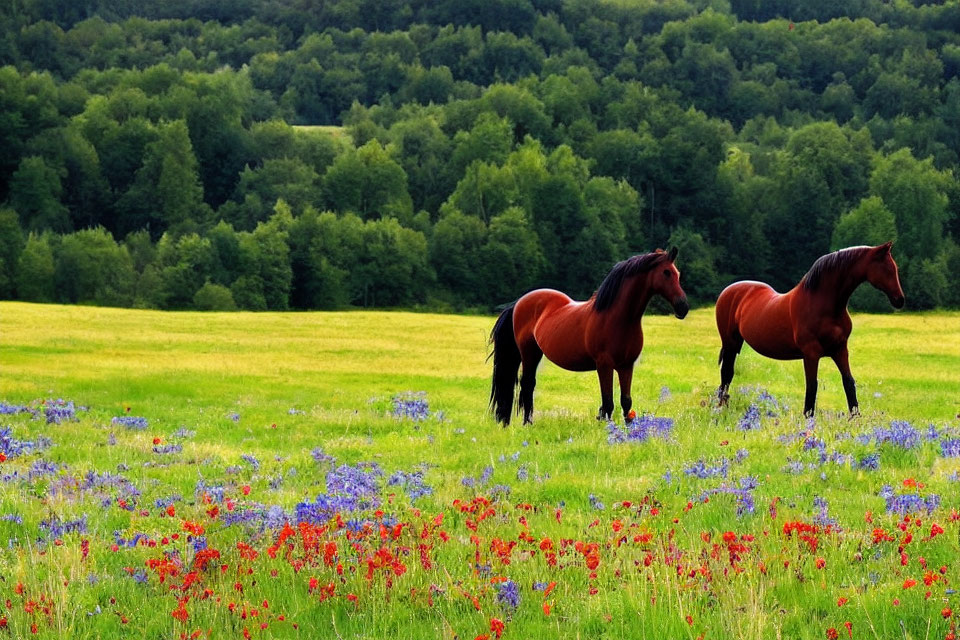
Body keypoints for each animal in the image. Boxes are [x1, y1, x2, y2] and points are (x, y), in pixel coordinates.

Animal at [492, 249, 688, 424]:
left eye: (678, 274)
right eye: (666, 272)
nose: (683, 307)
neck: (618, 318)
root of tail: (519, 302)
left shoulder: (626, 366)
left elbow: (626, 402)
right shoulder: (604, 365)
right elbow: (608, 403)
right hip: (528, 353)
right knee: (527, 385)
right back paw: (527, 424)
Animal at [716, 242, 904, 418]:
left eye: (895, 268)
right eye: (887, 268)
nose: (900, 300)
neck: (824, 305)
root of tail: (728, 291)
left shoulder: (840, 350)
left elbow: (849, 382)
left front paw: (856, 419)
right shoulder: (811, 353)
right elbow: (812, 386)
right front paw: (809, 418)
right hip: (730, 343)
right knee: (726, 373)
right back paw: (720, 408)